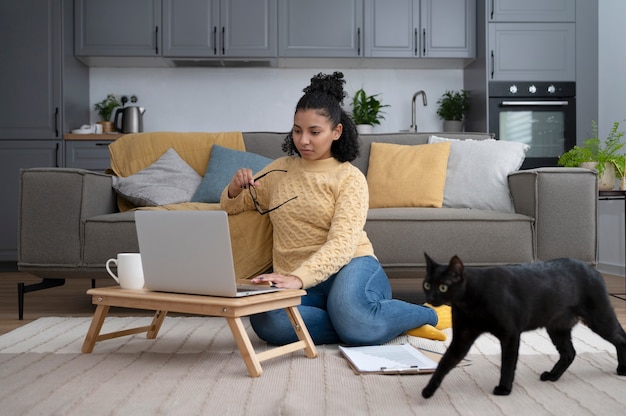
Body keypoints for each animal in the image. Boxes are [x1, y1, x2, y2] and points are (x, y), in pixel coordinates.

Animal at [420, 252, 624, 398]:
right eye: (427, 285)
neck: (469, 301)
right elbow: (445, 363)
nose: (430, 298)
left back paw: (622, 369)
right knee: (569, 353)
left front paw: (504, 389)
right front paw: (429, 390)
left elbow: (507, 364)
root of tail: (594, 270)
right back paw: (552, 376)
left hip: (599, 319)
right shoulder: (462, 338)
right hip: (557, 327)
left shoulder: (510, 334)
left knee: (621, 338)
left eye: (443, 287)